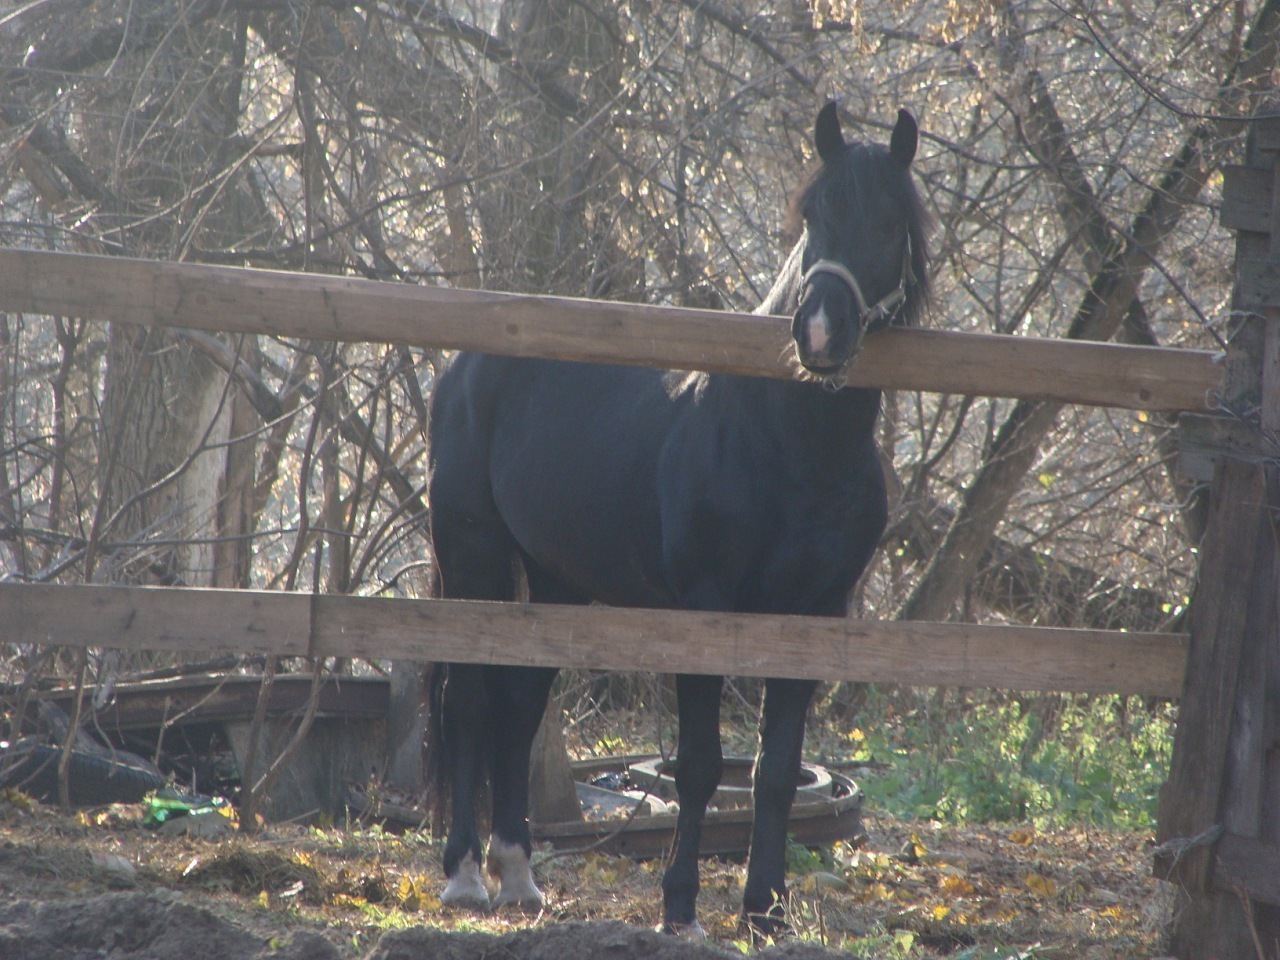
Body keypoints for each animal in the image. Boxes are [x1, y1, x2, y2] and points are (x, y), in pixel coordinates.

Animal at [430, 104, 931, 942]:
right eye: (813, 216)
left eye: (892, 221)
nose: (819, 334)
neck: (789, 441)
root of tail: (465, 366)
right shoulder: (704, 609)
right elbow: (697, 766)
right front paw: (681, 905)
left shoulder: (814, 616)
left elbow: (775, 770)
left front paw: (765, 909)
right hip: (474, 559)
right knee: (468, 700)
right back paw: (467, 874)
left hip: (555, 581)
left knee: (517, 707)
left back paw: (520, 875)